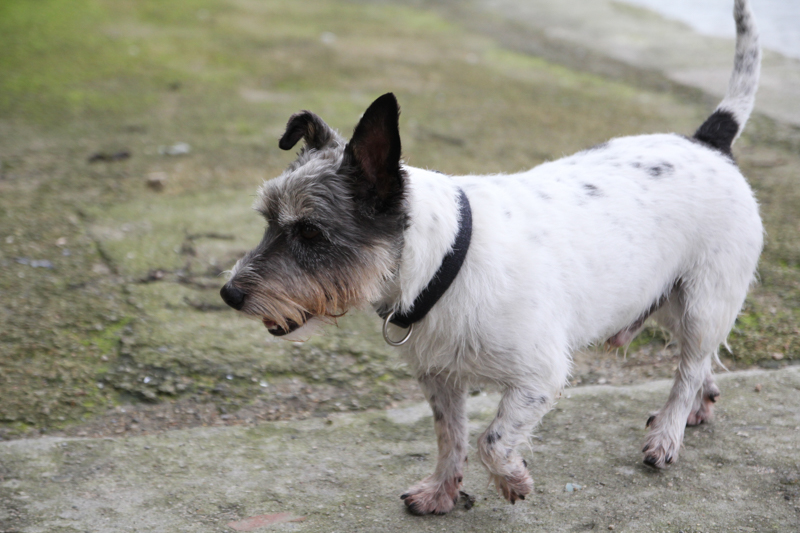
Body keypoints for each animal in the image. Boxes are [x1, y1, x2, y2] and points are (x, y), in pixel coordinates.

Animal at [219, 0, 764, 516]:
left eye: (310, 232)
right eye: (268, 220)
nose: (229, 294)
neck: (445, 262)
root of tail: (709, 140)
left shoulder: (540, 377)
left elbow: (491, 441)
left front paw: (512, 479)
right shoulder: (441, 380)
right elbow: (452, 438)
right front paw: (442, 492)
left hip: (704, 301)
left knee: (689, 365)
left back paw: (668, 434)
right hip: (667, 299)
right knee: (700, 359)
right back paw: (698, 408)